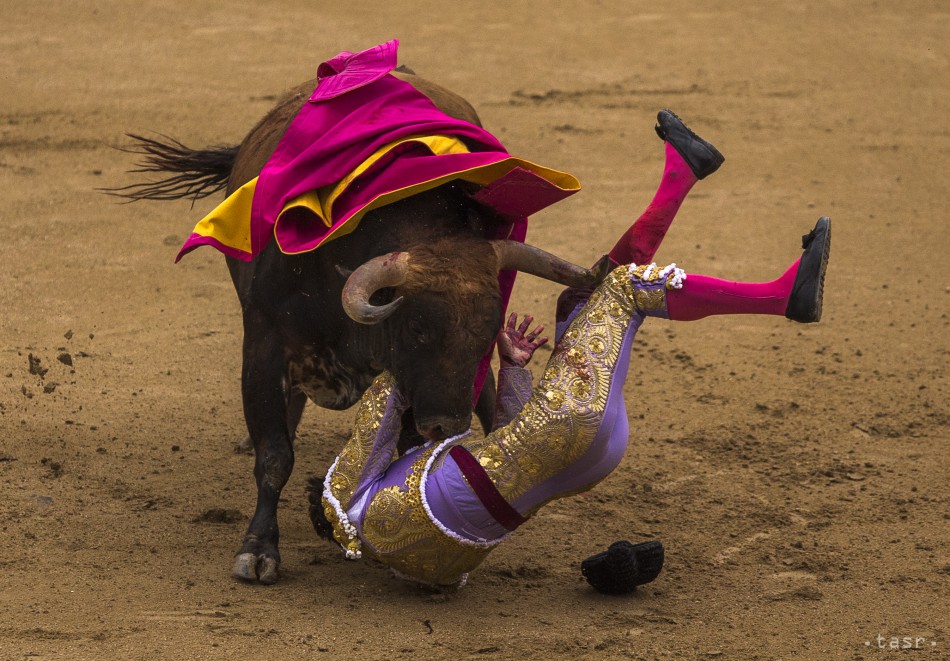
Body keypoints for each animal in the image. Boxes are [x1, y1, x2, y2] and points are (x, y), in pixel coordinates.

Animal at [115, 69, 608, 580]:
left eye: (489, 331)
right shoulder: (264, 347)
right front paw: (258, 549)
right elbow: (274, 456)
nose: (447, 424)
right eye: (417, 329)